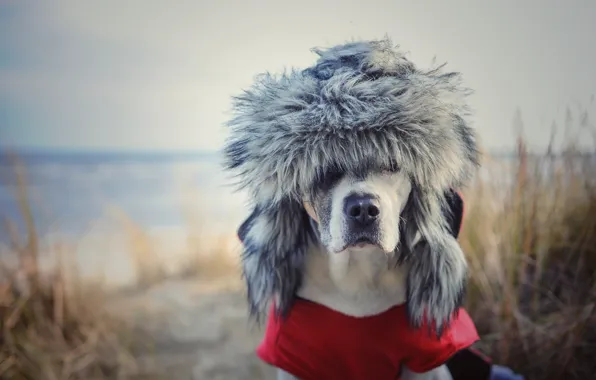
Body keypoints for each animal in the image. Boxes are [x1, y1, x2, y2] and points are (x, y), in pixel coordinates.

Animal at [222, 37, 480, 378]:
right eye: (325, 168)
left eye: (392, 163)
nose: (363, 209)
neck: (357, 276)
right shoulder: (291, 356)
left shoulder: (426, 359)